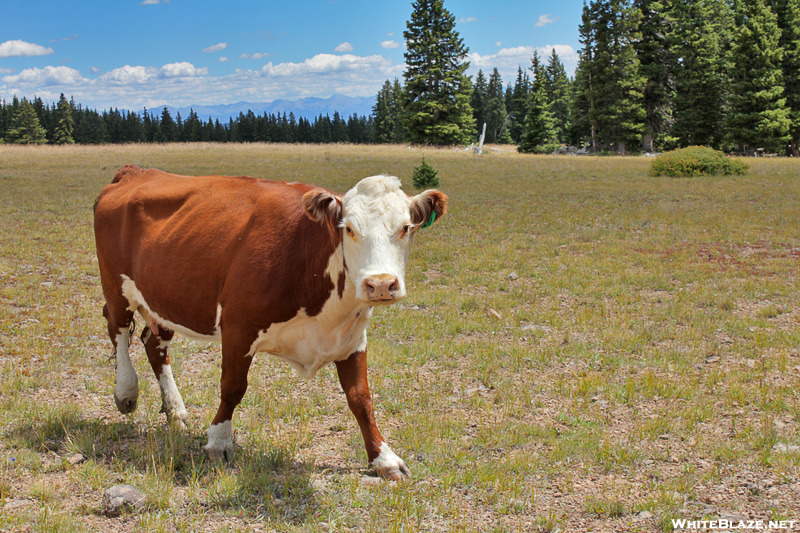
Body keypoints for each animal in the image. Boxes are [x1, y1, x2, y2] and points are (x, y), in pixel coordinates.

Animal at [94, 164, 446, 480]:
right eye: (348, 228)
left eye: (405, 228)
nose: (381, 284)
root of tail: (135, 171)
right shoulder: (238, 328)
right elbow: (232, 387)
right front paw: (219, 442)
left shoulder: (352, 338)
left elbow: (361, 398)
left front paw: (383, 457)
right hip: (116, 286)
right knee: (118, 331)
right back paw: (126, 391)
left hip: (165, 298)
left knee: (153, 343)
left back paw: (175, 410)